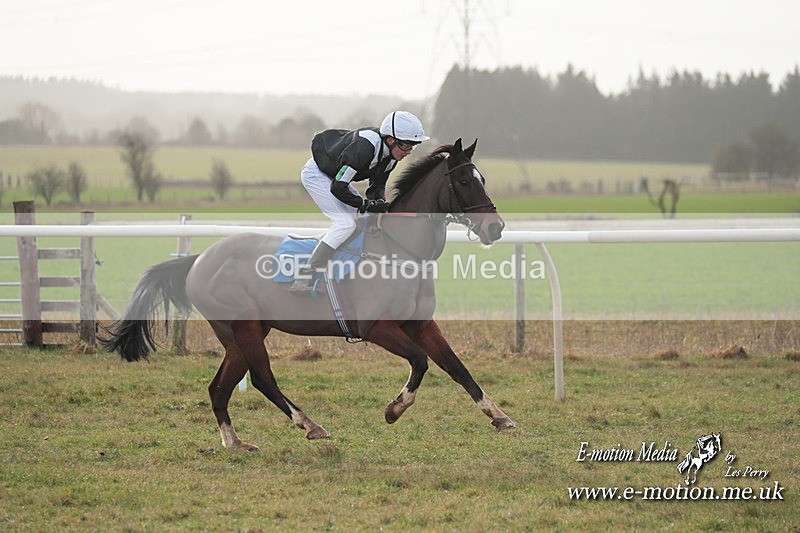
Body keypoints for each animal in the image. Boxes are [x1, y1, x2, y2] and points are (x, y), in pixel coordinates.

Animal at [100, 138, 516, 451]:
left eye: (482, 178)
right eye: (465, 183)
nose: (495, 227)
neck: (401, 251)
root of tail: (199, 259)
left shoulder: (421, 323)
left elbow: (457, 367)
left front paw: (498, 415)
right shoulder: (375, 327)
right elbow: (420, 361)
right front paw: (394, 409)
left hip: (241, 334)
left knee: (219, 388)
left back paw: (235, 443)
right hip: (243, 327)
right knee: (263, 378)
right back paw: (309, 424)